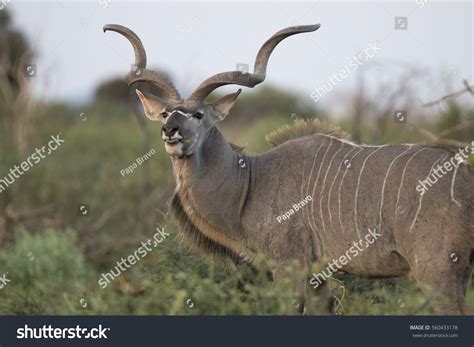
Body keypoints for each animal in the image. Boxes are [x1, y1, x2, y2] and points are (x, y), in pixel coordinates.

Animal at [104, 23, 474, 314]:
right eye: (167, 113)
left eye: (198, 114)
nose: (170, 131)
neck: (248, 182)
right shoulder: (318, 275)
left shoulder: (288, 266)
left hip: (437, 274)